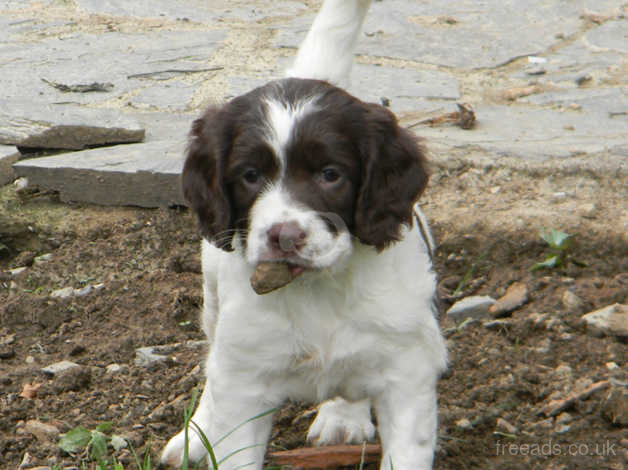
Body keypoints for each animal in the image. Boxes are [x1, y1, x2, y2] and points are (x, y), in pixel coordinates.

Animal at [162, 0, 446, 470]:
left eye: (331, 175)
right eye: (250, 175)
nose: (284, 236)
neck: (319, 288)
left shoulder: (408, 369)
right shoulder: (246, 380)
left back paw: (343, 416)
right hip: (214, 297)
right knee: (212, 361)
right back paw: (196, 434)